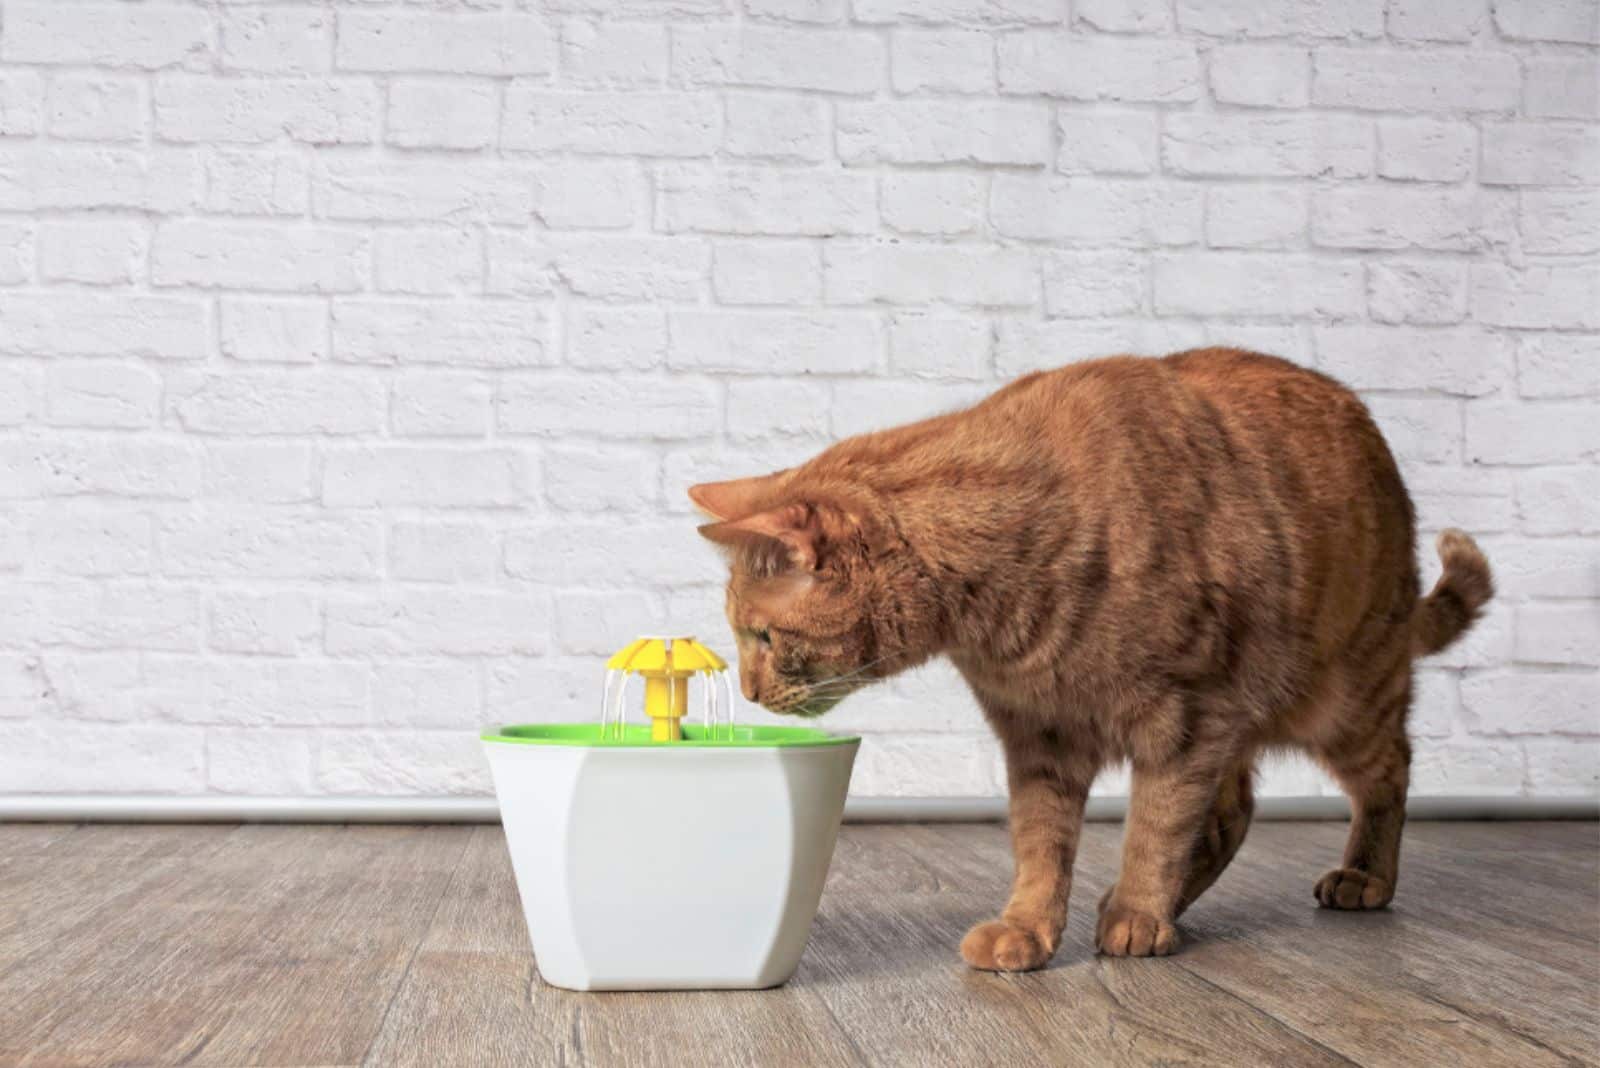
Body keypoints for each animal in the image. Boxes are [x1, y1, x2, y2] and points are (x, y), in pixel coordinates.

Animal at [694, 348, 1491, 965]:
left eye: (762, 638)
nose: (751, 692)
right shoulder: (1042, 737)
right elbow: (1042, 845)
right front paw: (1030, 929)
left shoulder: (1186, 720)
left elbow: (1155, 826)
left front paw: (1139, 911)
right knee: (1234, 812)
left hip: (1342, 701)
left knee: (1389, 770)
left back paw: (1361, 877)